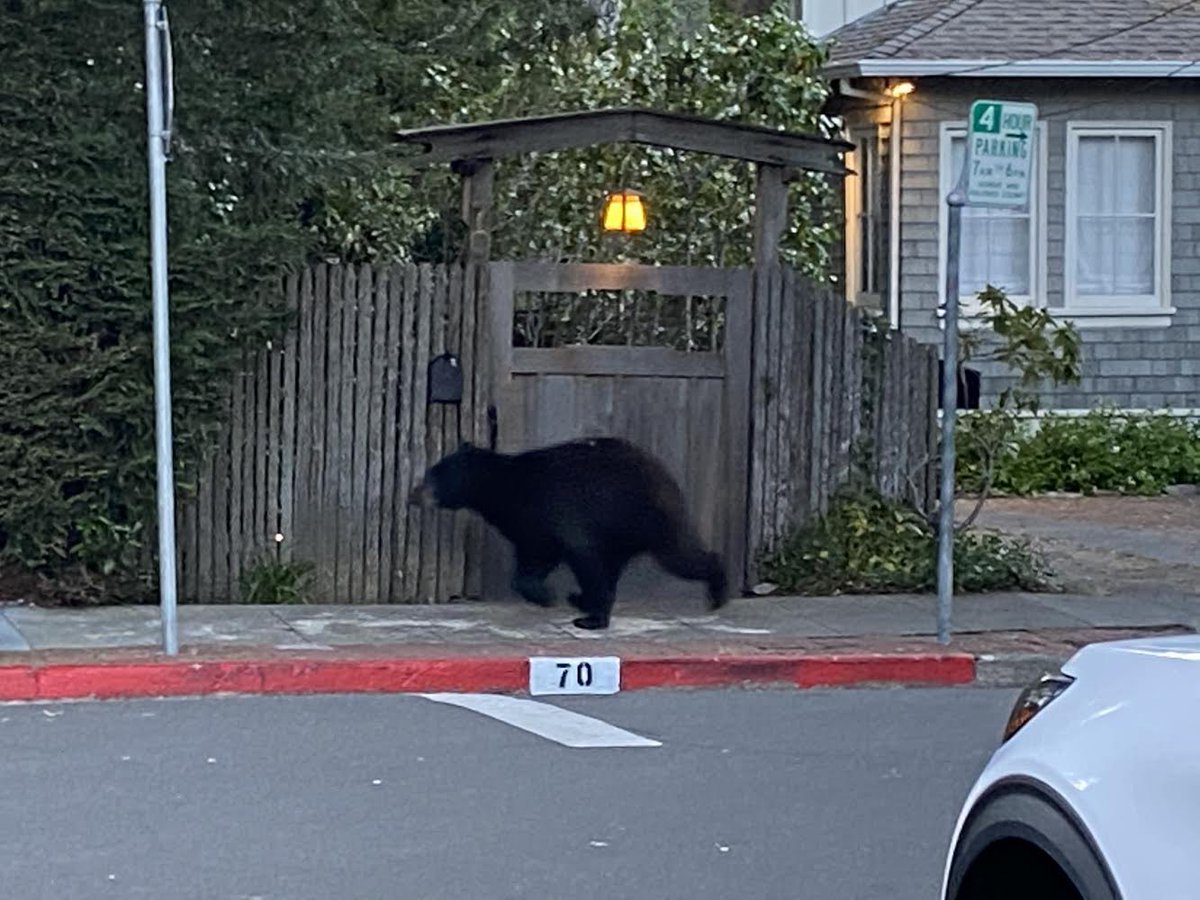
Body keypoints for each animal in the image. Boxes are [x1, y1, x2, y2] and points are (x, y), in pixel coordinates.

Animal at [409, 436, 729, 630]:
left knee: (678, 556)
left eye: (433, 475)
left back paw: (717, 591)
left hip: (648, 516)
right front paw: (545, 594)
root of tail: (663, 472)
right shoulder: (531, 525)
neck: (506, 489)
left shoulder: (556, 509)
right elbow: (534, 559)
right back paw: (581, 599)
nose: (413, 495)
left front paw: (558, 601)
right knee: (617, 566)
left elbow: (578, 554)